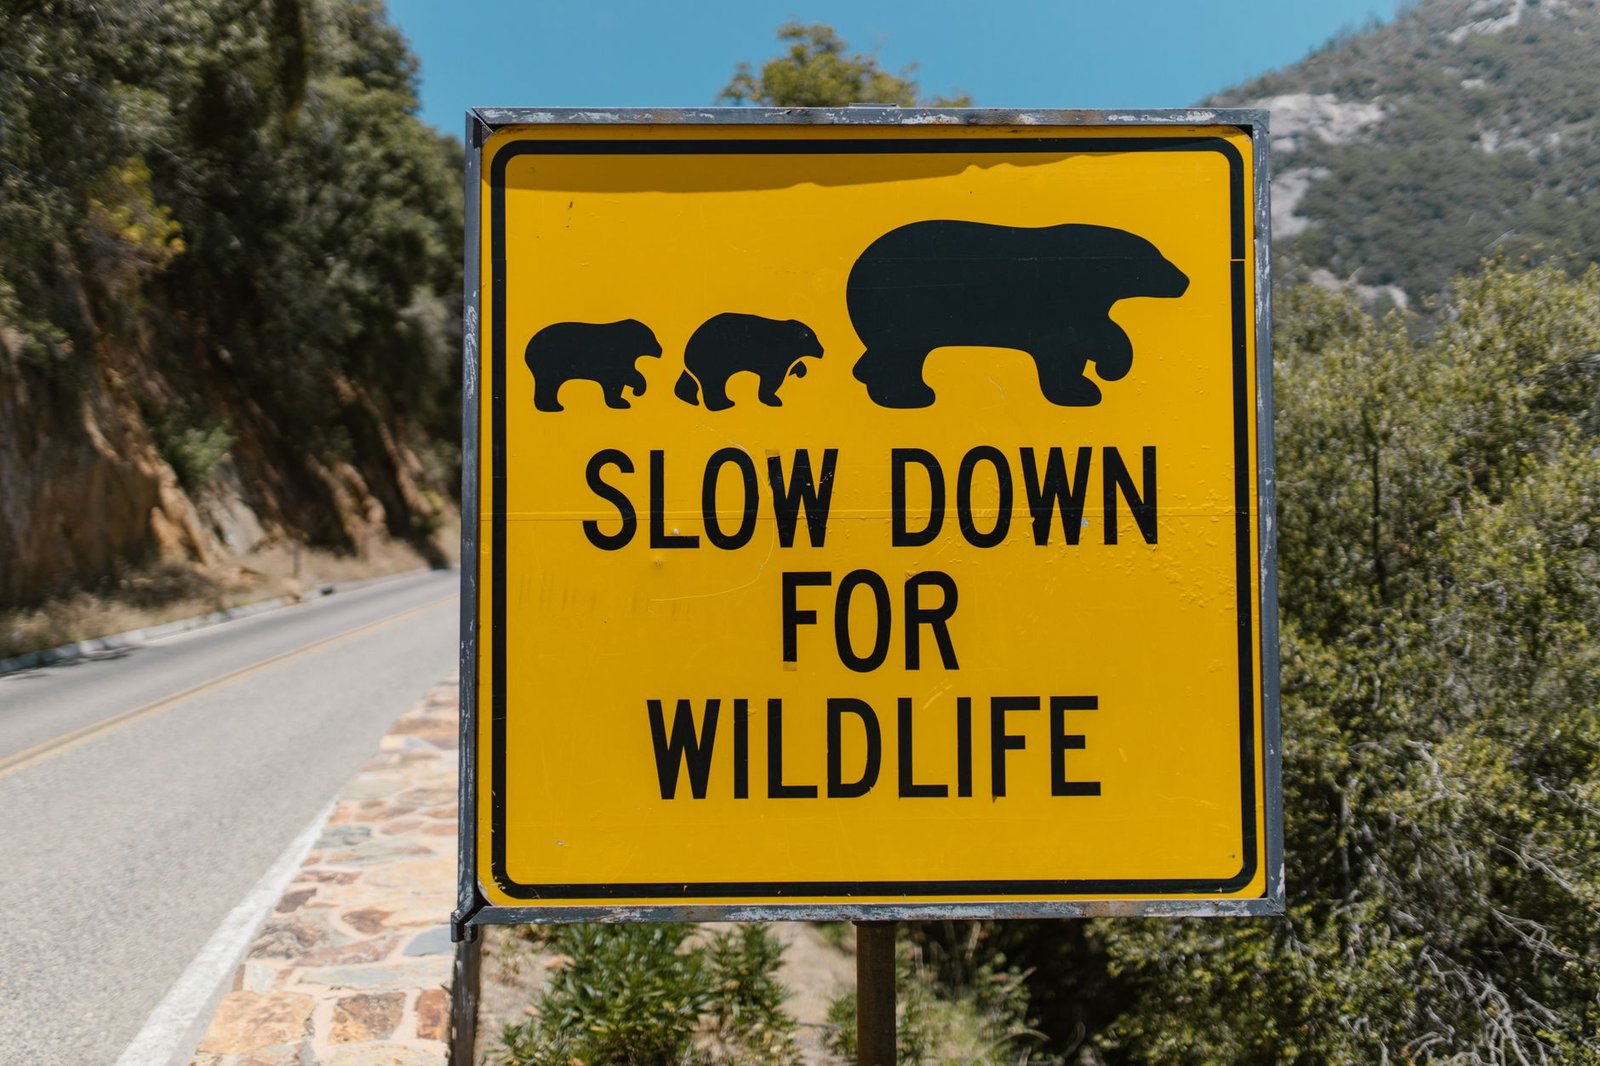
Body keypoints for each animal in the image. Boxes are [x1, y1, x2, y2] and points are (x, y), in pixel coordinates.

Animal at [523, 318, 662, 412]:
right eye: (652, 338)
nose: (660, 350)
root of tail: (527, 350)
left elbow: (621, 379)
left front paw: (622, 400)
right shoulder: (613, 359)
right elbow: (623, 376)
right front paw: (635, 392)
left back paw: (554, 405)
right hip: (548, 363)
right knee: (547, 384)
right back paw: (550, 407)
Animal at [673, 313, 824, 411]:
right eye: (812, 339)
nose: (822, 351)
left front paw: (799, 370)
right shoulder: (774, 356)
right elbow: (772, 379)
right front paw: (773, 400)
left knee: (690, 379)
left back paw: (689, 398)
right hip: (713, 360)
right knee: (713, 384)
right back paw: (724, 404)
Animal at [846, 220, 1190, 408]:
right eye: (1157, 259)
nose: (1184, 280)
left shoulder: (1082, 302)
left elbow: (1085, 338)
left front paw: (1087, 382)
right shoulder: (1058, 301)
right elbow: (1064, 347)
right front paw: (1090, 382)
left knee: (889, 355)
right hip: (901, 307)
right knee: (899, 354)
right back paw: (907, 396)